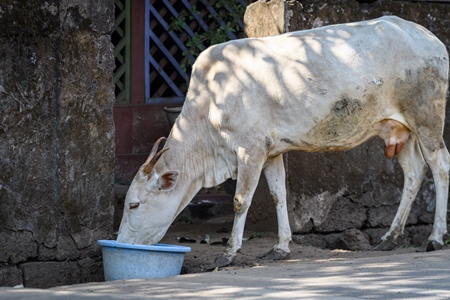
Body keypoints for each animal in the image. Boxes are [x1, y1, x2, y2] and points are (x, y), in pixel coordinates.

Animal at [117, 15, 450, 266]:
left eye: (134, 204)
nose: (120, 242)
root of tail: (428, 36)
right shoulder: (271, 152)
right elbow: (279, 195)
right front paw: (281, 247)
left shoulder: (249, 149)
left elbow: (241, 200)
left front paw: (229, 252)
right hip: (398, 129)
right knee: (413, 172)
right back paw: (390, 238)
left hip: (426, 119)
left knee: (440, 166)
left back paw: (434, 238)